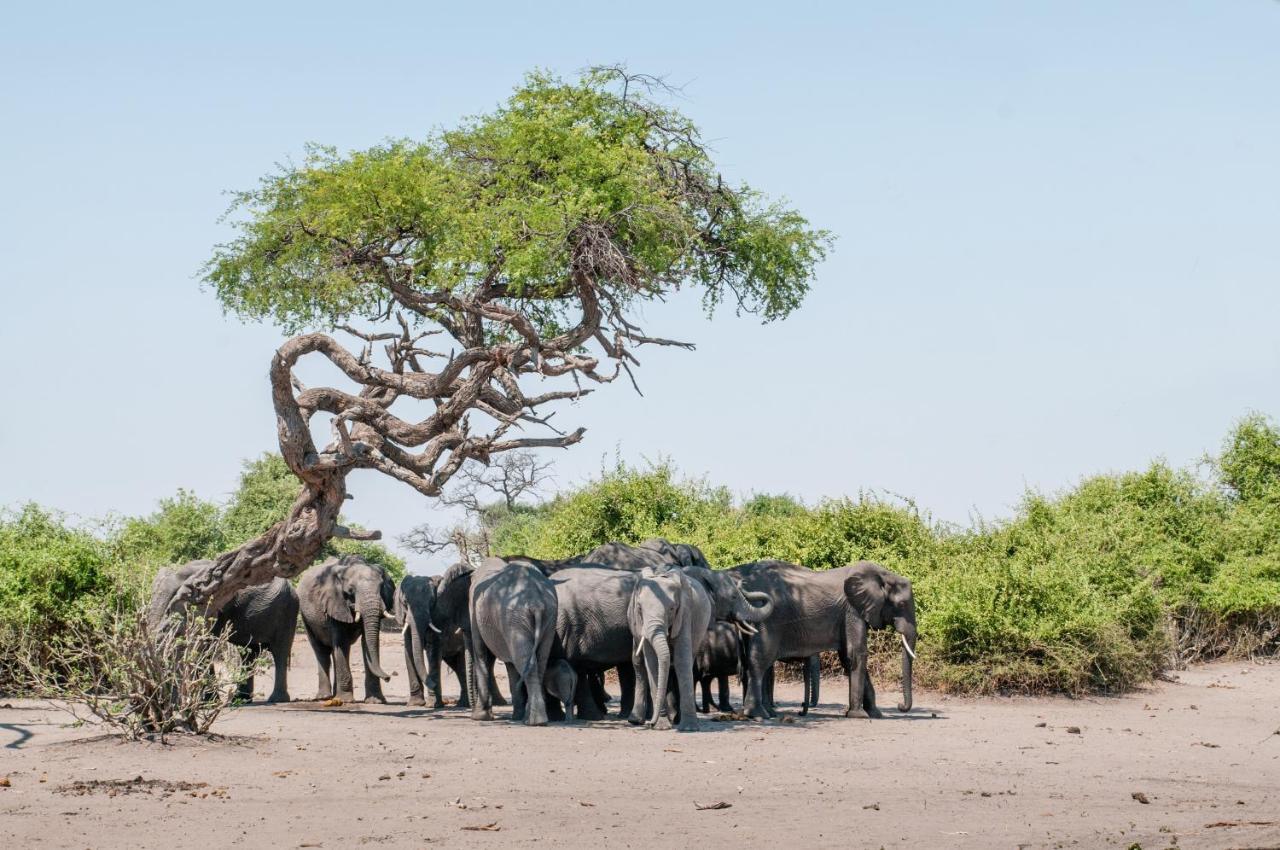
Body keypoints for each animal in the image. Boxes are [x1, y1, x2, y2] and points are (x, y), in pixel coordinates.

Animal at [148, 563, 298, 701]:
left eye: (177, 600)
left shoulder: (217, 607)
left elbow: (204, 647)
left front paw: (209, 701)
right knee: (248, 654)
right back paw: (240, 699)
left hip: (287, 612)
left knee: (279, 652)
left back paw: (276, 699)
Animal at [298, 555, 394, 701]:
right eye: (350, 590)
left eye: (381, 587)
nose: (388, 677)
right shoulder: (334, 603)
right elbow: (342, 642)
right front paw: (346, 700)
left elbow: (367, 643)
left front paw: (376, 701)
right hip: (306, 617)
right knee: (321, 651)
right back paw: (324, 697)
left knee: (334, 651)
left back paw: (334, 696)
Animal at [463, 558, 558, 721]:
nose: (471, 710)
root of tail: (537, 602)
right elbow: (511, 666)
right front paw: (516, 716)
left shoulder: (474, 610)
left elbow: (481, 652)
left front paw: (479, 717)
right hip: (547, 617)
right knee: (540, 660)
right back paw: (530, 717)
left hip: (517, 618)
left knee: (526, 662)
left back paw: (534, 721)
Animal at [627, 563, 711, 732]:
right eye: (639, 608)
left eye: (672, 609)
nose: (650, 723)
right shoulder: (641, 623)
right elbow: (653, 662)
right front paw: (661, 726)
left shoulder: (685, 613)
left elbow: (681, 660)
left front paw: (689, 728)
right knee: (639, 663)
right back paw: (638, 720)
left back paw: (676, 719)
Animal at [727, 563, 916, 716]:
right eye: (901, 605)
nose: (900, 706)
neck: (883, 575)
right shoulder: (852, 609)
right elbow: (857, 653)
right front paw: (859, 715)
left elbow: (847, 656)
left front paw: (875, 715)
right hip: (766, 622)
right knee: (759, 662)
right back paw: (758, 714)